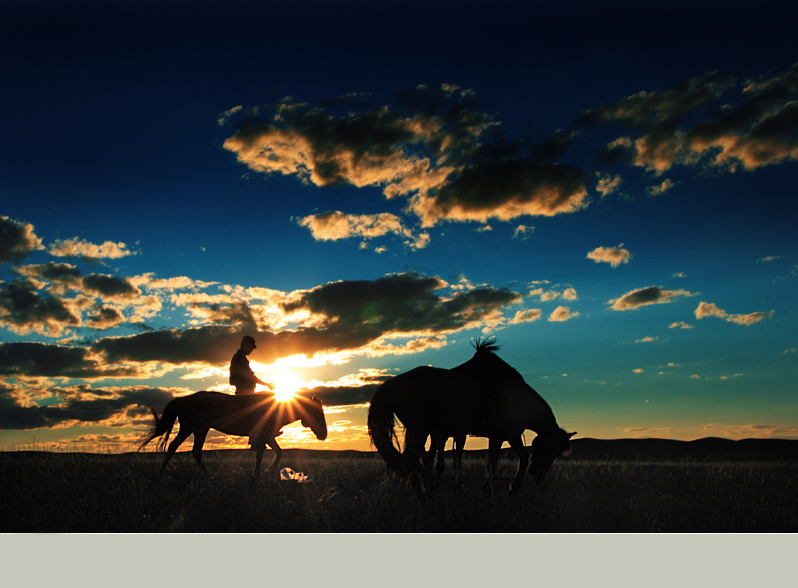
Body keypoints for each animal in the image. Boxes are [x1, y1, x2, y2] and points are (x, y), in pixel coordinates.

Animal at [139, 392, 326, 476]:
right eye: (317, 412)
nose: (323, 435)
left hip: (199, 430)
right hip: (192, 429)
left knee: (192, 450)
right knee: (176, 447)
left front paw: (266, 470)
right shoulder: (264, 436)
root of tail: (183, 399)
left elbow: (277, 452)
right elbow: (263, 454)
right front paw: (260, 473)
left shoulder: (267, 437)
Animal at [368, 340, 576, 496]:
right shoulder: (510, 435)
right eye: (550, 449)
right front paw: (511, 489)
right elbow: (518, 460)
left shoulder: (493, 437)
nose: (538, 476)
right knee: (412, 461)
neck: (519, 399)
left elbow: (490, 464)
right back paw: (423, 497)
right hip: (420, 431)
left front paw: (486, 491)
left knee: (414, 461)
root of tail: (393, 383)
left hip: (420, 431)